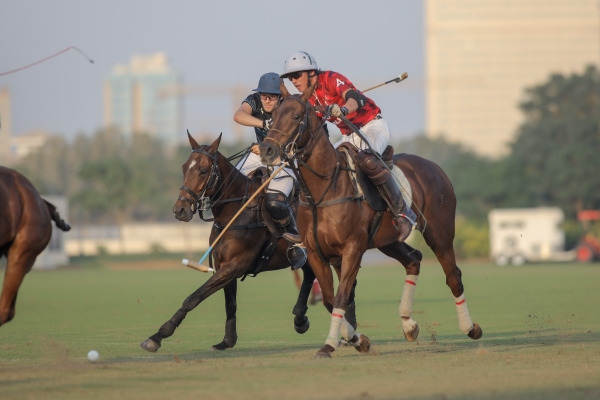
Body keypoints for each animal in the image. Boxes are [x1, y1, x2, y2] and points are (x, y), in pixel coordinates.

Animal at [139, 132, 350, 354]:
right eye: (184, 167)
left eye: (203, 170)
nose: (180, 210)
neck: (234, 212)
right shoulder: (223, 266)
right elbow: (230, 304)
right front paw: (227, 340)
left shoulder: (233, 266)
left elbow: (193, 298)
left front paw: (156, 337)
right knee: (310, 275)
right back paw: (301, 319)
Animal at [258, 86, 482, 356]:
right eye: (273, 116)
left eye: (296, 116)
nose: (267, 150)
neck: (323, 191)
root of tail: (435, 167)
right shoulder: (316, 253)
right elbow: (331, 299)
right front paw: (358, 340)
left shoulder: (353, 248)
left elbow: (342, 296)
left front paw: (329, 345)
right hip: (389, 240)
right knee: (414, 260)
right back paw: (409, 325)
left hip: (440, 233)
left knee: (453, 275)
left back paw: (470, 328)